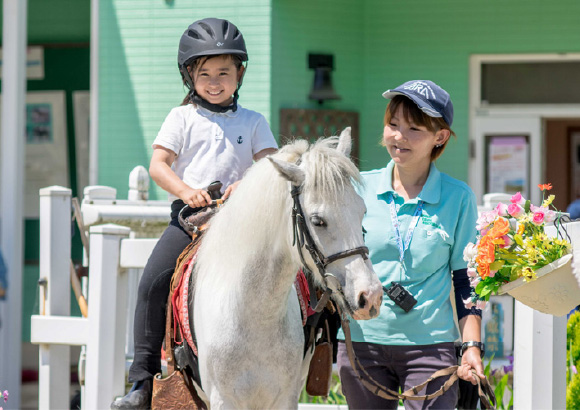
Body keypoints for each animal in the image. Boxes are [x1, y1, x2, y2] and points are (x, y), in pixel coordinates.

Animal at [195, 129, 382, 410]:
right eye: (318, 220)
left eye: (362, 211)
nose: (370, 296)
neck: (256, 317)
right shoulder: (222, 400)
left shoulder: (285, 398)